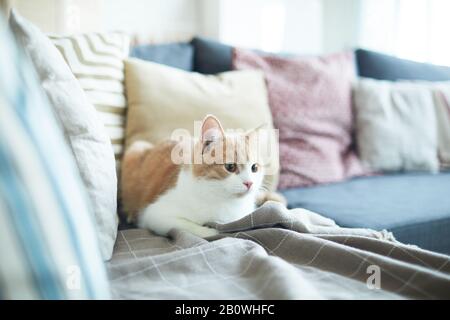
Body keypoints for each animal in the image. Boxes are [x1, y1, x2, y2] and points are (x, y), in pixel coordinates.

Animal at [120, 115, 284, 238]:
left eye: (254, 168)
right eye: (230, 167)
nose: (249, 183)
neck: (221, 199)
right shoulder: (154, 214)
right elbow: (188, 226)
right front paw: (210, 230)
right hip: (136, 148)